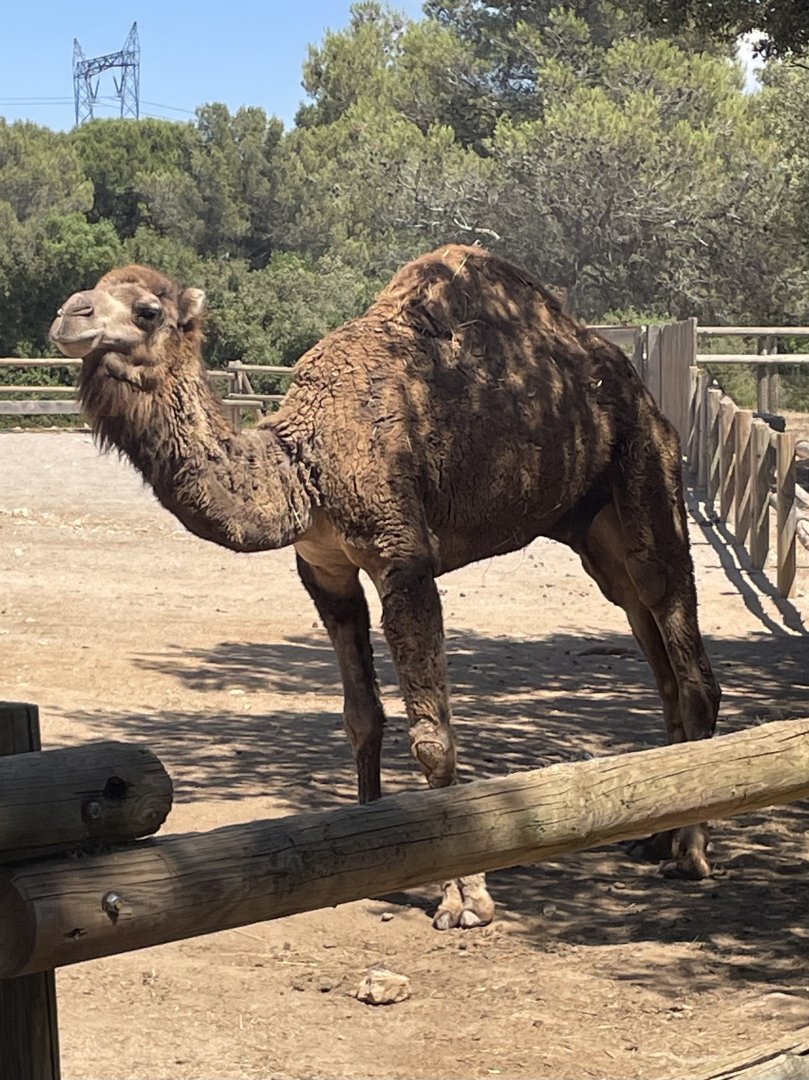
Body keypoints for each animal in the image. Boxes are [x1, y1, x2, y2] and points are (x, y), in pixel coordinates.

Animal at [50, 244, 720, 931]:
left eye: (147, 310)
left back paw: (691, 855)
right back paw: (658, 836)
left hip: (646, 472)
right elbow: (361, 716)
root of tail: (635, 387)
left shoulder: (404, 558)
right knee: (648, 636)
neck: (305, 466)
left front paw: (465, 900)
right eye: (91, 292)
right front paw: (369, 858)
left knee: (683, 646)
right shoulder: (324, 570)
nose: (68, 315)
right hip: (592, 531)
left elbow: (431, 738)